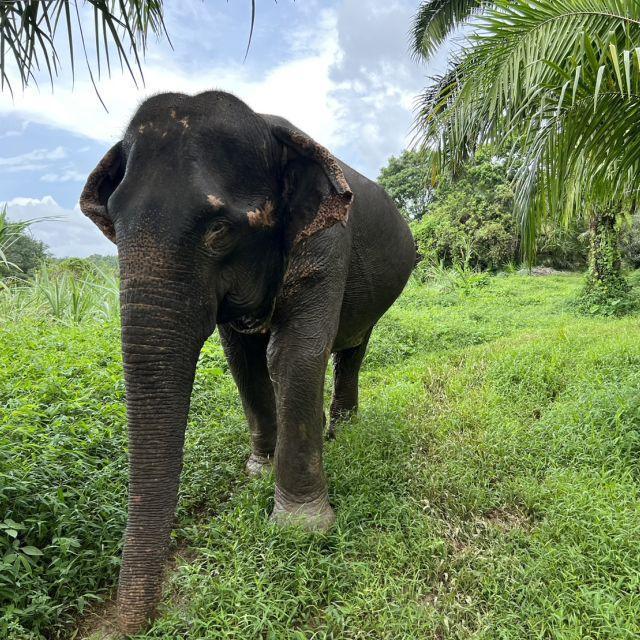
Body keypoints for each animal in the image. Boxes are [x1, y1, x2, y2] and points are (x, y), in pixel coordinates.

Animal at [79, 90, 415, 634]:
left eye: (219, 230)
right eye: (115, 225)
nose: (134, 625)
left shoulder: (328, 243)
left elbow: (294, 354)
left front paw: (302, 528)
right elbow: (242, 357)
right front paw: (259, 468)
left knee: (354, 346)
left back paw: (343, 428)